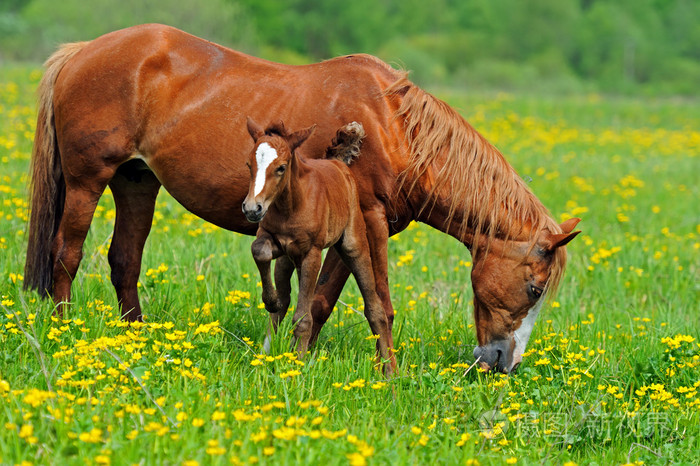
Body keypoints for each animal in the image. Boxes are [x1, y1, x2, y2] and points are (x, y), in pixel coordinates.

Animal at [242, 119, 396, 374]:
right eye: (249, 164)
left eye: (281, 167)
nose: (252, 208)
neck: (291, 205)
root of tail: (339, 164)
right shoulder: (274, 240)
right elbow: (259, 251)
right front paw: (270, 300)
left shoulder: (311, 253)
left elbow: (304, 317)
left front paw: (298, 364)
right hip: (286, 261)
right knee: (283, 304)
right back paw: (265, 353)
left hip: (353, 245)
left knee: (375, 309)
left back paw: (389, 372)